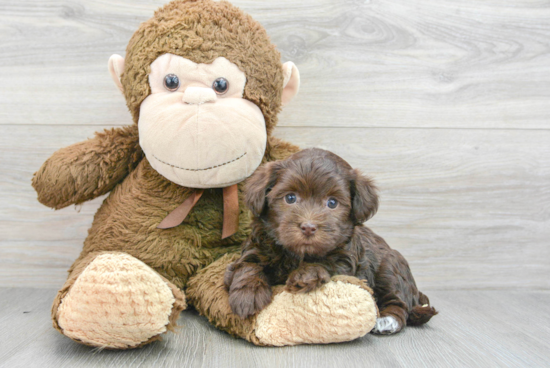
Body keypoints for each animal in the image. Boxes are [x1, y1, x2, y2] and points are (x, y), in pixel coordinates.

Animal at [225, 147, 440, 334]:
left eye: (332, 203)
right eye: (290, 198)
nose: (308, 227)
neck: (297, 254)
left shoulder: (346, 258)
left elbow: (327, 262)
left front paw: (305, 275)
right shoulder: (256, 246)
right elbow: (247, 265)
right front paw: (247, 294)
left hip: (390, 267)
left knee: (399, 303)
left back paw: (386, 321)